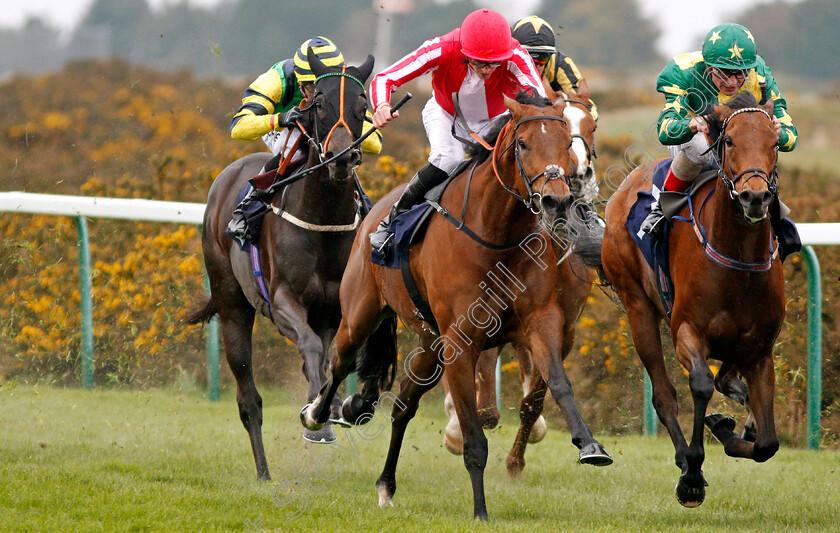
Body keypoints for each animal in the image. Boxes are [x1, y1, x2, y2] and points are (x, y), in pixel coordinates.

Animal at [190, 52, 378, 480]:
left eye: (362, 107)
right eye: (319, 104)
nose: (342, 157)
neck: (322, 220)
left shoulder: (333, 309)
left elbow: (328, 358)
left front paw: (329, 408)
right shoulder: (282, 301)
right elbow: (310, 348)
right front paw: (317, 419)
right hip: (232, 306)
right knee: (248, 399)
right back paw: (263, 472)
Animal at [300, 92, 612, 520]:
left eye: (569, 141)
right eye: (523, 144)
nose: (558, 199)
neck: (496, 233)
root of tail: (373, 210)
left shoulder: (545, 322)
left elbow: (555, 386)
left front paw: (589, 444)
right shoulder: (462, 343)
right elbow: (474, 433)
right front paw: (480, 511)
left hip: (430, 344)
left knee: (403, 406)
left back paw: (385, 484)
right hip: (362, 315)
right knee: (340, 362)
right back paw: (318, 415)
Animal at [600, 93, 784, 504]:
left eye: (775, 143)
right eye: (728, 140)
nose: (755, 197)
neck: (738, 262)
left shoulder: (760, 349)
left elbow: (767, 444)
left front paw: (731, 428)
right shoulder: (686, 328)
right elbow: (699, 383)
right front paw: (693, 474)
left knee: (728, 380)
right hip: (638, 308)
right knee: (665, 394)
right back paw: (685, 459)